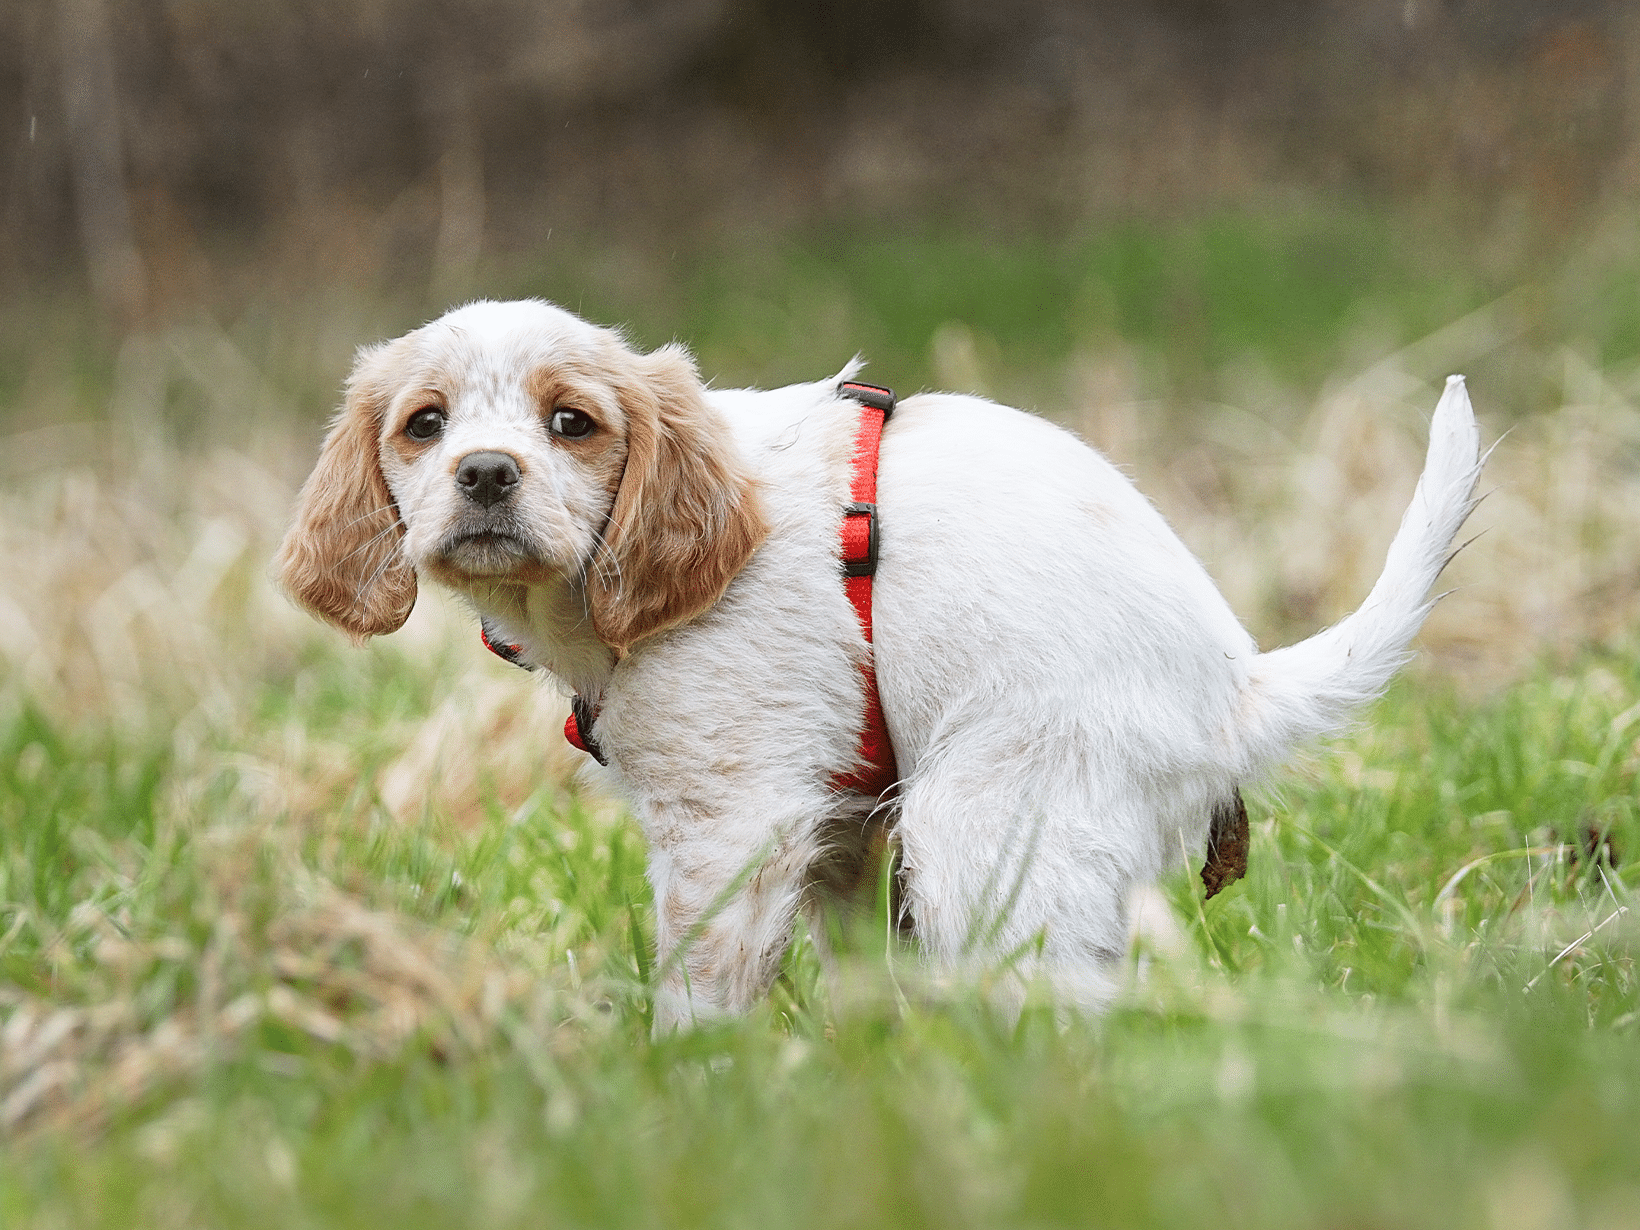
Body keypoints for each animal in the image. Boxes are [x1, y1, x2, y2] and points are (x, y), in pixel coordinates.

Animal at [278, 301, 1489, 1029]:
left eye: (570, 423)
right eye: (424, 425)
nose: (485, 473)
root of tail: (1233, 688)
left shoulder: (733, 817)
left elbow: (701, 983)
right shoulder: (841, 827)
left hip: (987, 829)